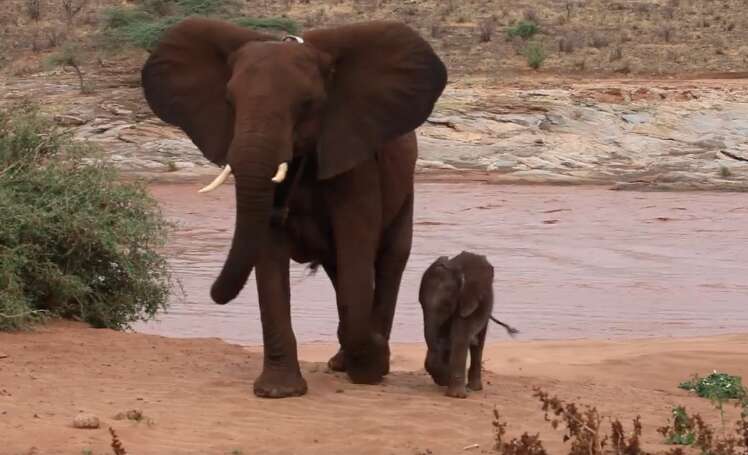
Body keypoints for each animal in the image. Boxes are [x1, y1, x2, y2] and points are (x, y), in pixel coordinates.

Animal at [140, 17, 447, 398]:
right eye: (229, 101)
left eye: (308, 103)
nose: (214, 293)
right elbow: (270, 257)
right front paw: (278, 392)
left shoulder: (355, 158)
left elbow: (356, 251)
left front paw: (371, 366)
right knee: (339, 269)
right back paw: (345, 360)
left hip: (406, 189)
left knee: (389, 259)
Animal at [418, 252, 518, 398]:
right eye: (421, 303)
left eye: (446, 305)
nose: (443, 379)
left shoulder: (468, 302)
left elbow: (459, 337)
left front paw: (455, 395)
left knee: (478, 344)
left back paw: (474, 388)